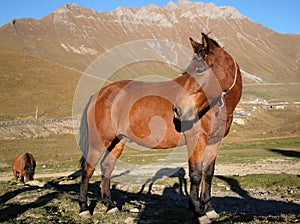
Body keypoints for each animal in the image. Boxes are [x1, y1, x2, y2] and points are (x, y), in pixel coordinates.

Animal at [78, 32, 243, 223]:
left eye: (200, 70)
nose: (178, 110)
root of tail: (100, 93)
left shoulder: (214, 142)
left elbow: (208, 174)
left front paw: (209, 209)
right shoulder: (197, 140)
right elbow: (195, 174)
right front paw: (199, 212)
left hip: (118, 141)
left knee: (107, 167)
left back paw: (110, 205)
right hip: (99, 141)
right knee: (88, 168)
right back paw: (83, 208)